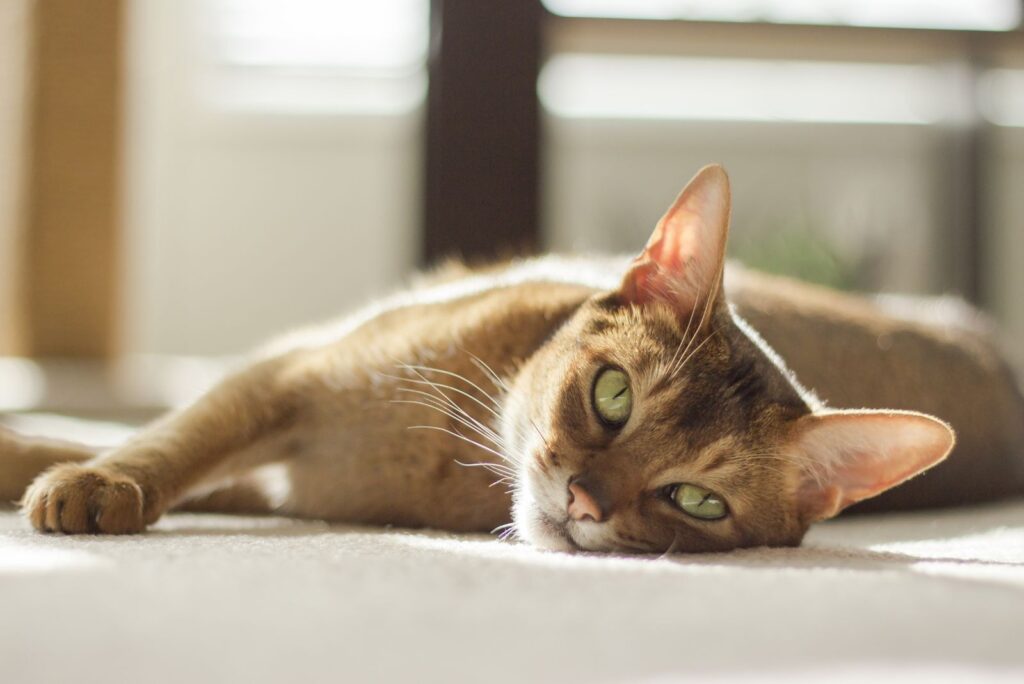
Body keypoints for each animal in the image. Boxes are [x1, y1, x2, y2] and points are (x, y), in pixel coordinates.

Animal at [2, 166, 1024, 557]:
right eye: (612, 395)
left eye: (698, 501)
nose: (582, 501)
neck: (437, 446)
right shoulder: (283, 376)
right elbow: (167, 441)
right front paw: (88, 484)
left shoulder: (290, 471)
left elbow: (168, 449)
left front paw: (71, 480)